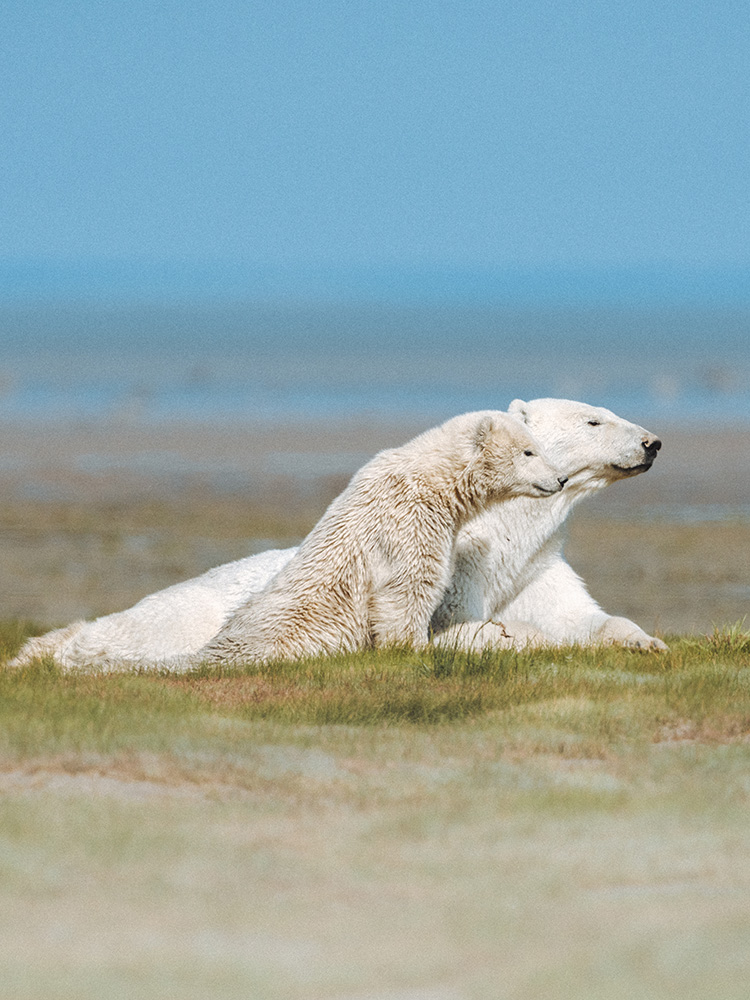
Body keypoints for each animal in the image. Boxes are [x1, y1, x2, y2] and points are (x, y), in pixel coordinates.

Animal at [9, 397, 662, 671]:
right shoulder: (458, 564)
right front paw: (507, 638)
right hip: (183, 616)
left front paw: (644, 641)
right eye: (593, 419)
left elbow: (581, 616)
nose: (653, 442)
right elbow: (449, 625)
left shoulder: (535, 566)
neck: (503, 533)